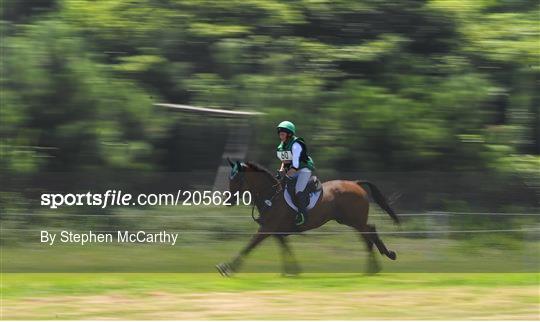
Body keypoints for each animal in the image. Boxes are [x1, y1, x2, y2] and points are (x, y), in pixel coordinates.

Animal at [216, 160, 400, 276]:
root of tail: (355, 183)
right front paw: (292, 271)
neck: (271, 195)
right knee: (367, 236)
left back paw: (386, 256)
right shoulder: (275, 230)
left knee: (370, 232)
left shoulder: (267, 229)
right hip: (350, 221)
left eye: (237, 178)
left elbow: (249, 246)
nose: (228, 201)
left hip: (354, 220)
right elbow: (286, 248)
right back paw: (373, 267)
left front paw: (227, 268)